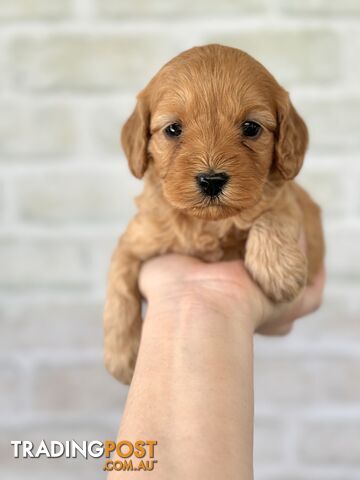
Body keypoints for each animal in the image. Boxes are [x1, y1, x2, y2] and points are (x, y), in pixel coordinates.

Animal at [102, 43, 324, 384]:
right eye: (173, 129)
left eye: (251, 128)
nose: (211, 180)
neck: (207, 224)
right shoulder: (136, 237)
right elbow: (119, 283)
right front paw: (121, 356)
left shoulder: (292, 202)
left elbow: (273, 214)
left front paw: (279, 270)